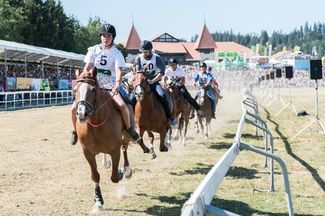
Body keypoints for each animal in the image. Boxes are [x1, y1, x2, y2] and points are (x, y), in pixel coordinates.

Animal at [73, 68, 147, 209]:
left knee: (126, 146)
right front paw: (98, 199)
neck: (96, 124)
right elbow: (95, 176)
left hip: (127, 133)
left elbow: (114, 176)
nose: (81, 114)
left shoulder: (114, 150)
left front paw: (121, 171)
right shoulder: (87, 152)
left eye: (93, 90)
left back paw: (127, 169)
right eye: (74, 90)